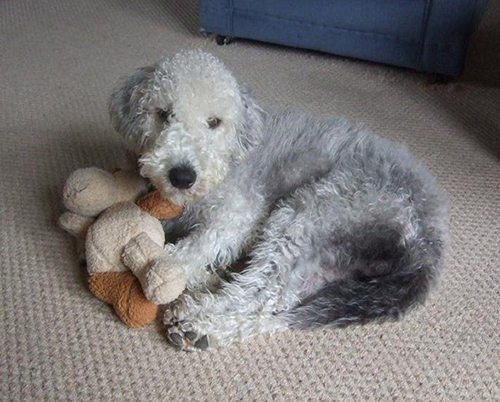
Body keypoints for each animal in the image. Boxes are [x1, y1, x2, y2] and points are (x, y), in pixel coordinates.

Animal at [107, 50, 448, 350]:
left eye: (214, 122)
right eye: (163, 114)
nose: (181, 176)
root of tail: (429, 245)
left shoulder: (238, 215)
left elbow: (193, 247)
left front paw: (163, 268)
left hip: (310, 212)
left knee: (259, 293)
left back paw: (197, 322)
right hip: (322, 258)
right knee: (278, 306)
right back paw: (207, 319)